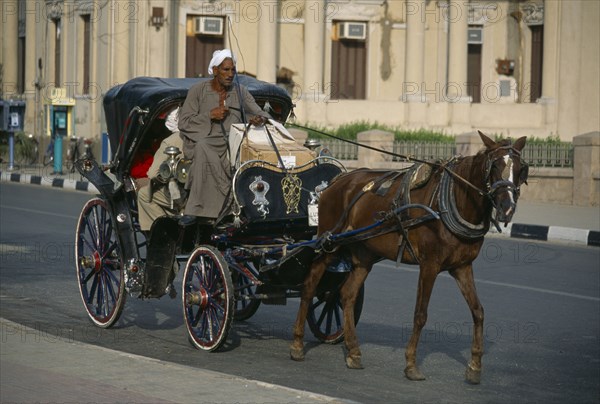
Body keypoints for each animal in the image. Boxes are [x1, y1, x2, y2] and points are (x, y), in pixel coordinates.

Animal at [290, 133, 528, 386]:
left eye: (520, 169)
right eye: (494, 167)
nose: (507, 208)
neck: (448, 202)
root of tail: (337, 181)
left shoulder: (462, 266)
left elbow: (478, 311)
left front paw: (474, 366)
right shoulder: (429, 265)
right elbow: (420, 314)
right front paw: (411, 364)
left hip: (364, 253)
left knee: (347, 294)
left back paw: (353, 351)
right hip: (329, 243)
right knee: (310, 284)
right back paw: (297, 343)